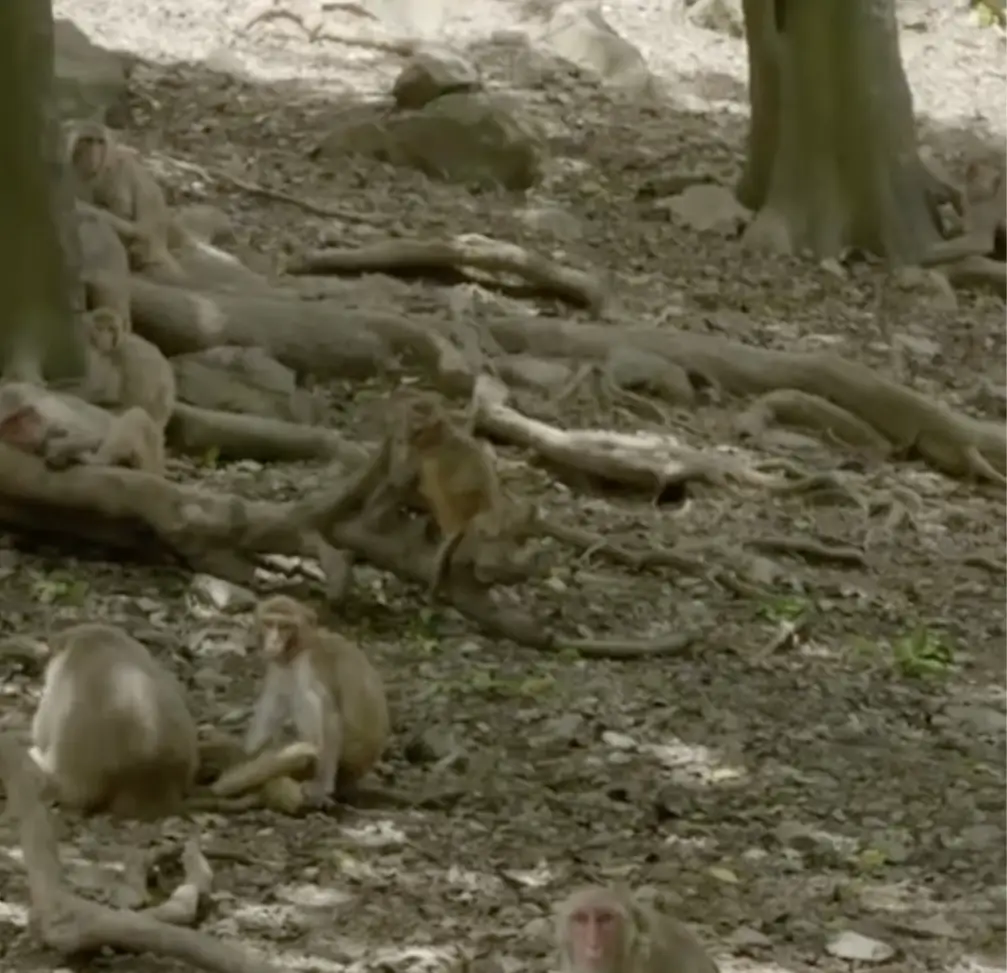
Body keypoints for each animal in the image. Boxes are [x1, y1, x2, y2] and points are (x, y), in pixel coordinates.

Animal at [244, 595, 389, 809]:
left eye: (285, 626)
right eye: (269, 624)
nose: (274, 640)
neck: (298, 649)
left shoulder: (310, 664)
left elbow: (329, 716)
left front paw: (321, 786)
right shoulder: (279, 665)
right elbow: (273, 705)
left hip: (348, 759)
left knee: (307, 699)